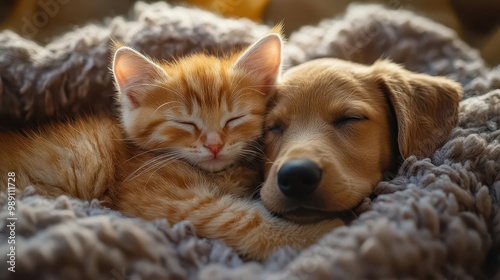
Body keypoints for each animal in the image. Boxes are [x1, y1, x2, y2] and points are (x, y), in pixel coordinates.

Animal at [0, 31, 340, 260]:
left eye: (234, 118)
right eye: (185, 123)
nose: (214, 145)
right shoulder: (160, 200)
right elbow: (242, 221)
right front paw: (321, 233)